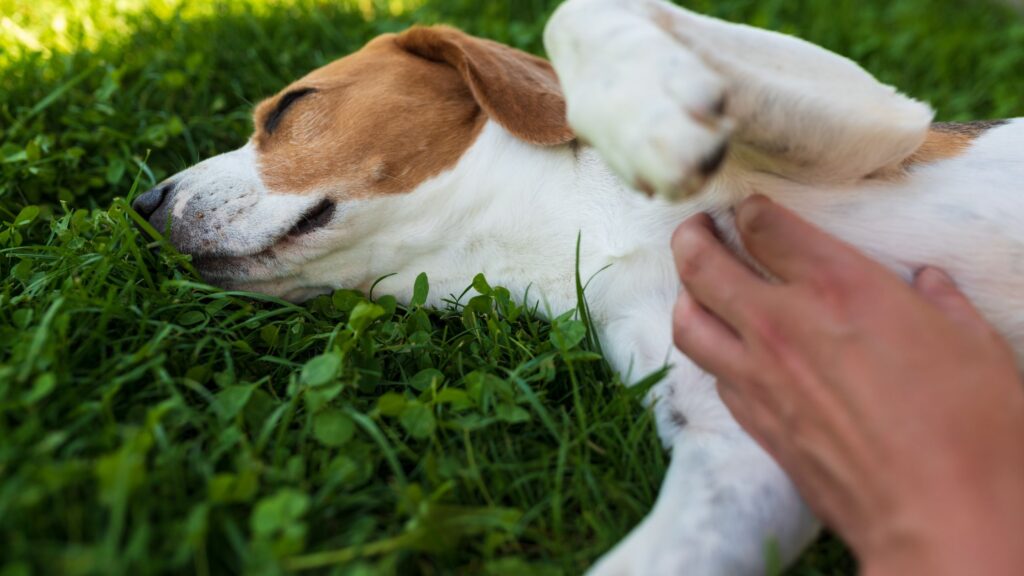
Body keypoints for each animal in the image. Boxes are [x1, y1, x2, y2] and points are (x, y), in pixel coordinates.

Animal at [134, 2, 1024, 569]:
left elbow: (582, 12)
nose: (144, 205)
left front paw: (648, 112)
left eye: (290, 107)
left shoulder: (880, 116)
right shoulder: (743, 454)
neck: (569, 229)